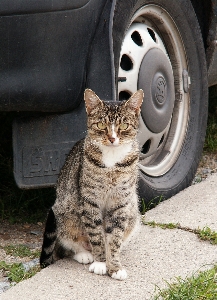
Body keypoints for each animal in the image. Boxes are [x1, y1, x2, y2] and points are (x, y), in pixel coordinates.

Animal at [39, 88, 144, 280]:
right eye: (101, 125)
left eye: (124, 126)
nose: (112, 138)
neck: (112, 159)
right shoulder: (90, 200)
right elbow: (96, 234)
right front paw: (101, 263)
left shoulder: (121, 202)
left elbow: (114, 237)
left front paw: (114, 266)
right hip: (64, 212)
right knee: (68, 244)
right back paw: (84, 254)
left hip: (132, 209)